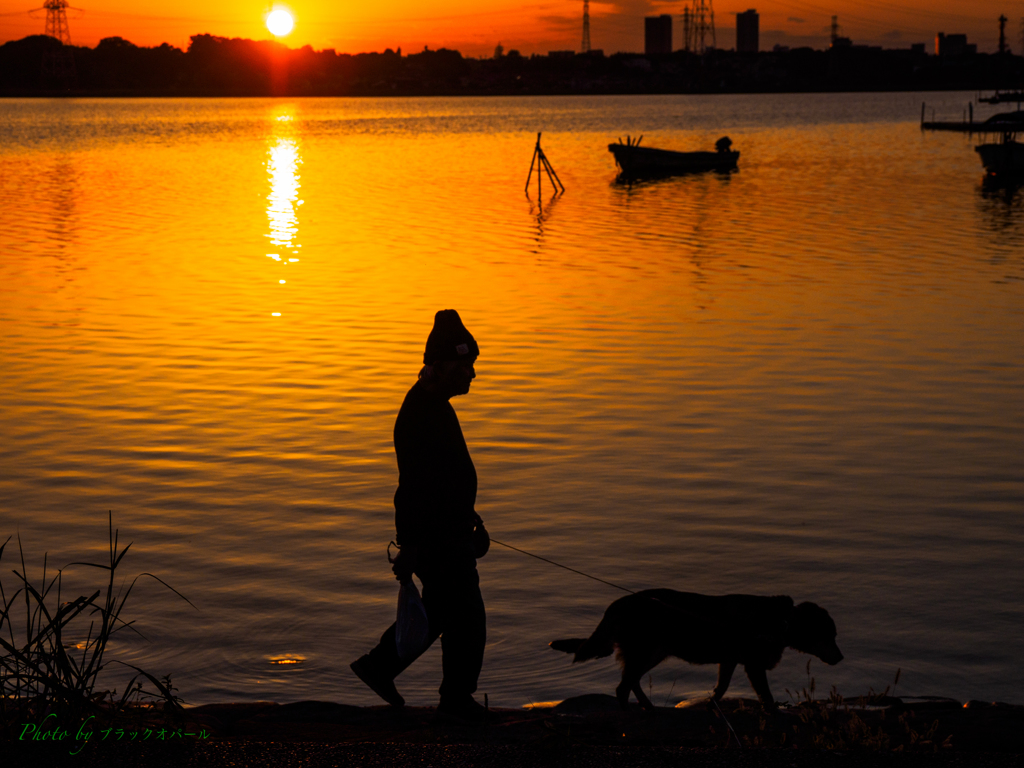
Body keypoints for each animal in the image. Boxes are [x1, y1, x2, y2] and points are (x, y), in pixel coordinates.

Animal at [548, 593, 843, 712]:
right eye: (830, 635)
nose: (841, 657)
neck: (782, 621)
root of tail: (617, 604)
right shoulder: (753, 665)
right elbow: (767, 696)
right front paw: (774, 711)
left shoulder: (729, 660)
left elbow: (721, 688)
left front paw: (712, 705)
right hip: (646, 651)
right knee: (623, 686)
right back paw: (630, 711)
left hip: (652, 652)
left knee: (632, 682)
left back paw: (648, 706)